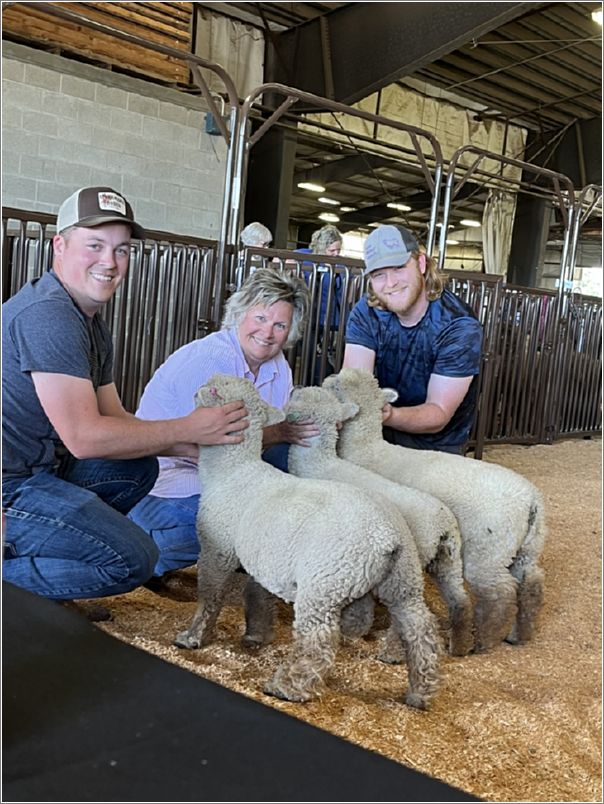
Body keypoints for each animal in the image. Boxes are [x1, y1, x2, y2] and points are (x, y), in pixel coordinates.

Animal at [175, 372, 444, 708]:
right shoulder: (265, 558)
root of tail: (387, 538)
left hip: (324, 583)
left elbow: (209, 597)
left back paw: (287, 687)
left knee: (318, 640)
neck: (233, 470)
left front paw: (192, 637)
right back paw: (420, 691)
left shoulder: (217, 548)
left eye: (212, 390)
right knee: (419, 629)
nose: (195, 389)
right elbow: (258, 594)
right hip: (403, 580)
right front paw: (257, 635)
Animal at [286, 386, 474, 656]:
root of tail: (443, 525)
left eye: (302, 398)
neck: (319, 462)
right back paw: (460, 644)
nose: (296, 387)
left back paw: (392, 652)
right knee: (460, 599)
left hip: (411, 563)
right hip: (449, 561)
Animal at [326, 370, 548, 652]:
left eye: (337, 386)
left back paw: (485, 641)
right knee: (531, 584)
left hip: (489, 550)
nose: (328, 377)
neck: (366, 448)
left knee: (500, 593)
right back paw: (519, 634)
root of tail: (532, 500)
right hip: (527, 548)